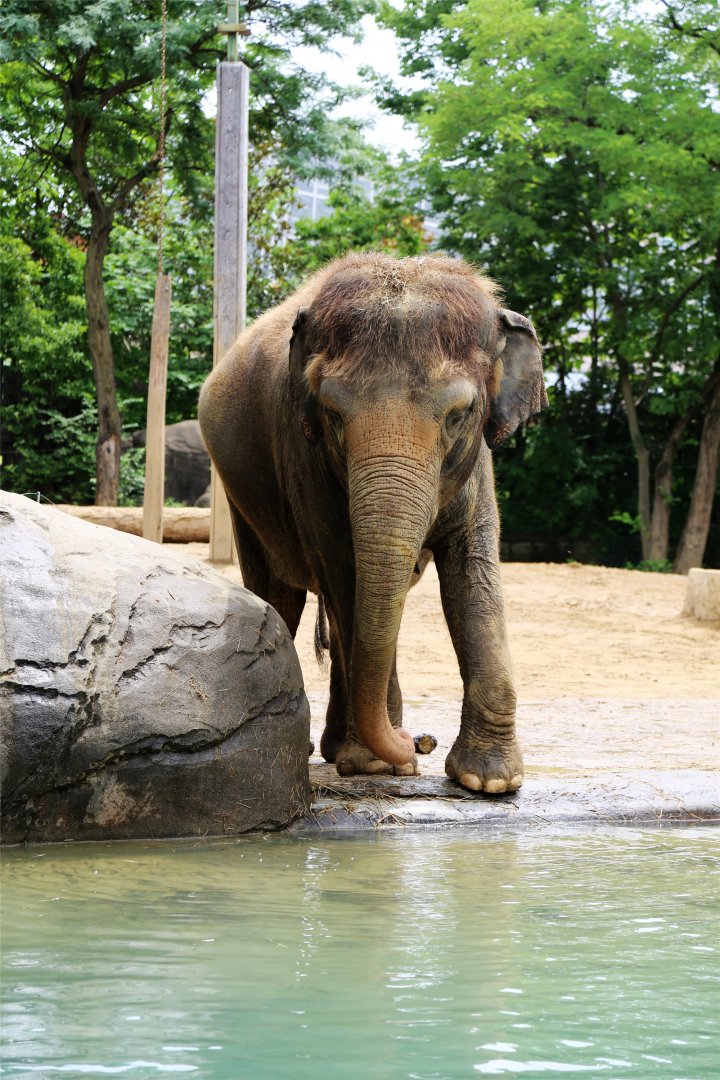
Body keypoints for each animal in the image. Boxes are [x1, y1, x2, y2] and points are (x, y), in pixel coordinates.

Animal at [198, 253, 546, 793]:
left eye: (459, 415)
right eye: (334, 415)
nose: (422, 741)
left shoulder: (478, 470)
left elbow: (473, 573)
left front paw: (488, 782)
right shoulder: (303, 452)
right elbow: (346, 573)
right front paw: (380, 764)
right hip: (241, 498)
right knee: (282, 596)